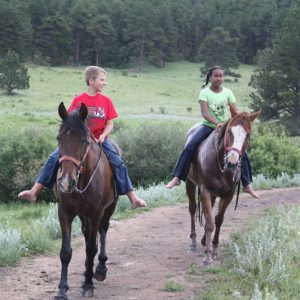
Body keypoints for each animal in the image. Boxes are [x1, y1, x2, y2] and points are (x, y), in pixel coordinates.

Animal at [54, 102, 117, 298]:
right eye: (59, 139)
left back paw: (100, 269)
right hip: (83, 215)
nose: (66, 182)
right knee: (87, 233)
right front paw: (62, 290)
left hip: (109, 208)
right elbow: (65, 252)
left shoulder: (96, 213)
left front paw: (89, 284)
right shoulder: (64, 213)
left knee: (102, 231)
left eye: (84, 141)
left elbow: (91, 248)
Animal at [186, 111, 258, 266]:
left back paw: (203, 240)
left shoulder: (229, 194)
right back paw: (193, 242)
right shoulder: (206, 192)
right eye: (229, 131)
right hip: (190, 183)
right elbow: (209, 223)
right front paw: (207, 258)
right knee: (193, 209)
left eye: (248, 135)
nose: (232, 162)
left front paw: (214, 249)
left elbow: (218, 219)